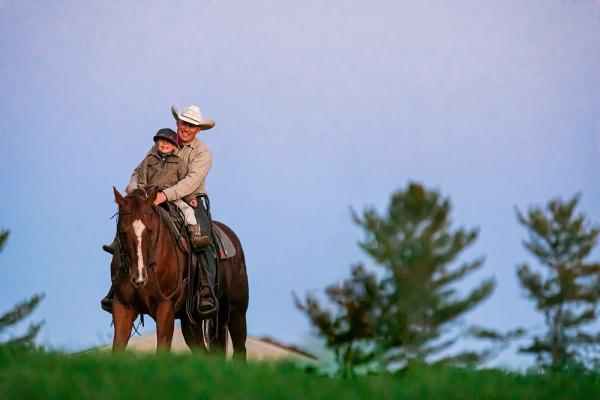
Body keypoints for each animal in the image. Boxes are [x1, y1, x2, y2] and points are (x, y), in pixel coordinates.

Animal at [109, 188, 248, 360]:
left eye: (150, 231)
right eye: (123, 232)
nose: (138, 278)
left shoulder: (165, 307)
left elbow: (162, 349)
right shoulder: (123, 307)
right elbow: (117, 348)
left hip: (235, 312)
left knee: (239, 350)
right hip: (192, 322)